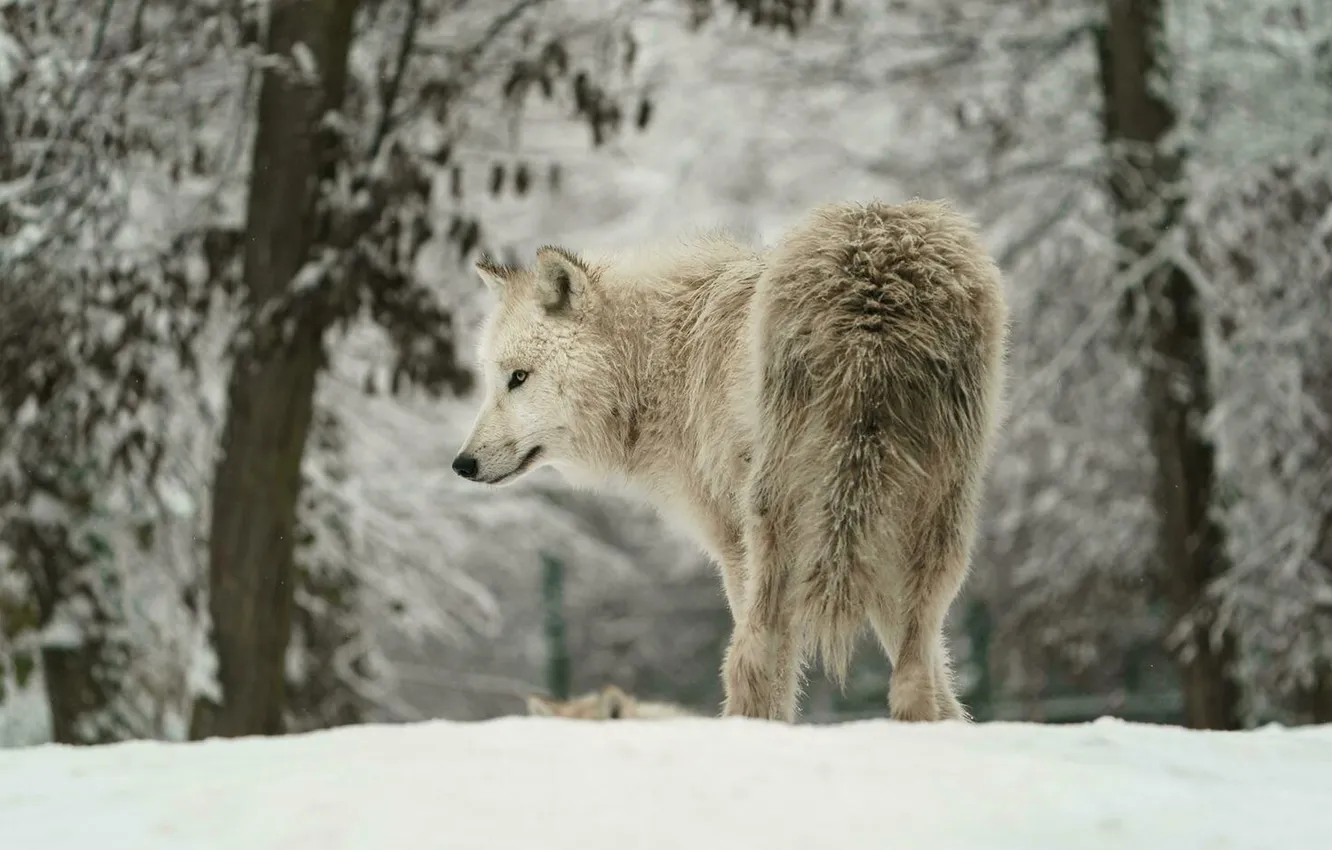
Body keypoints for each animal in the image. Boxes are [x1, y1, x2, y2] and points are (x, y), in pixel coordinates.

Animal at [453, 199, 1009, 723]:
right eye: (494, 378)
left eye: (518, 377)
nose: (462, 464)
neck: (657, 360)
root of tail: (876, 278)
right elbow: (943, 684)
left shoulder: (730, 543)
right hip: (933, 525)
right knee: (916, 669)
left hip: (777, 524)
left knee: (754, 655)